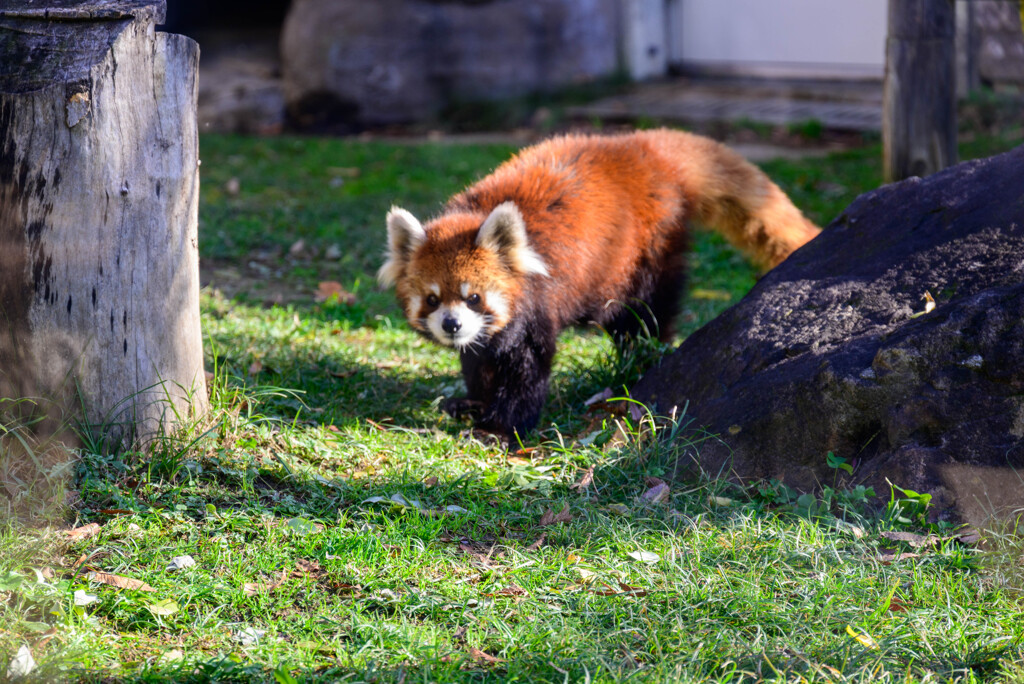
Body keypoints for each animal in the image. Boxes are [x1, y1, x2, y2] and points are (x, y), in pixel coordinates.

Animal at [380, 129, 819, 440]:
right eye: (433, 299)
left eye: (473, 297)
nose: (452, 325)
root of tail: (644, 148)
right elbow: (479, 359)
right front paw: (473, 402)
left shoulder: (537, 302)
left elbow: (526, 367)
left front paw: (500, 427)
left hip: (644, 251)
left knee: (644, 314)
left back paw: (639, 359)